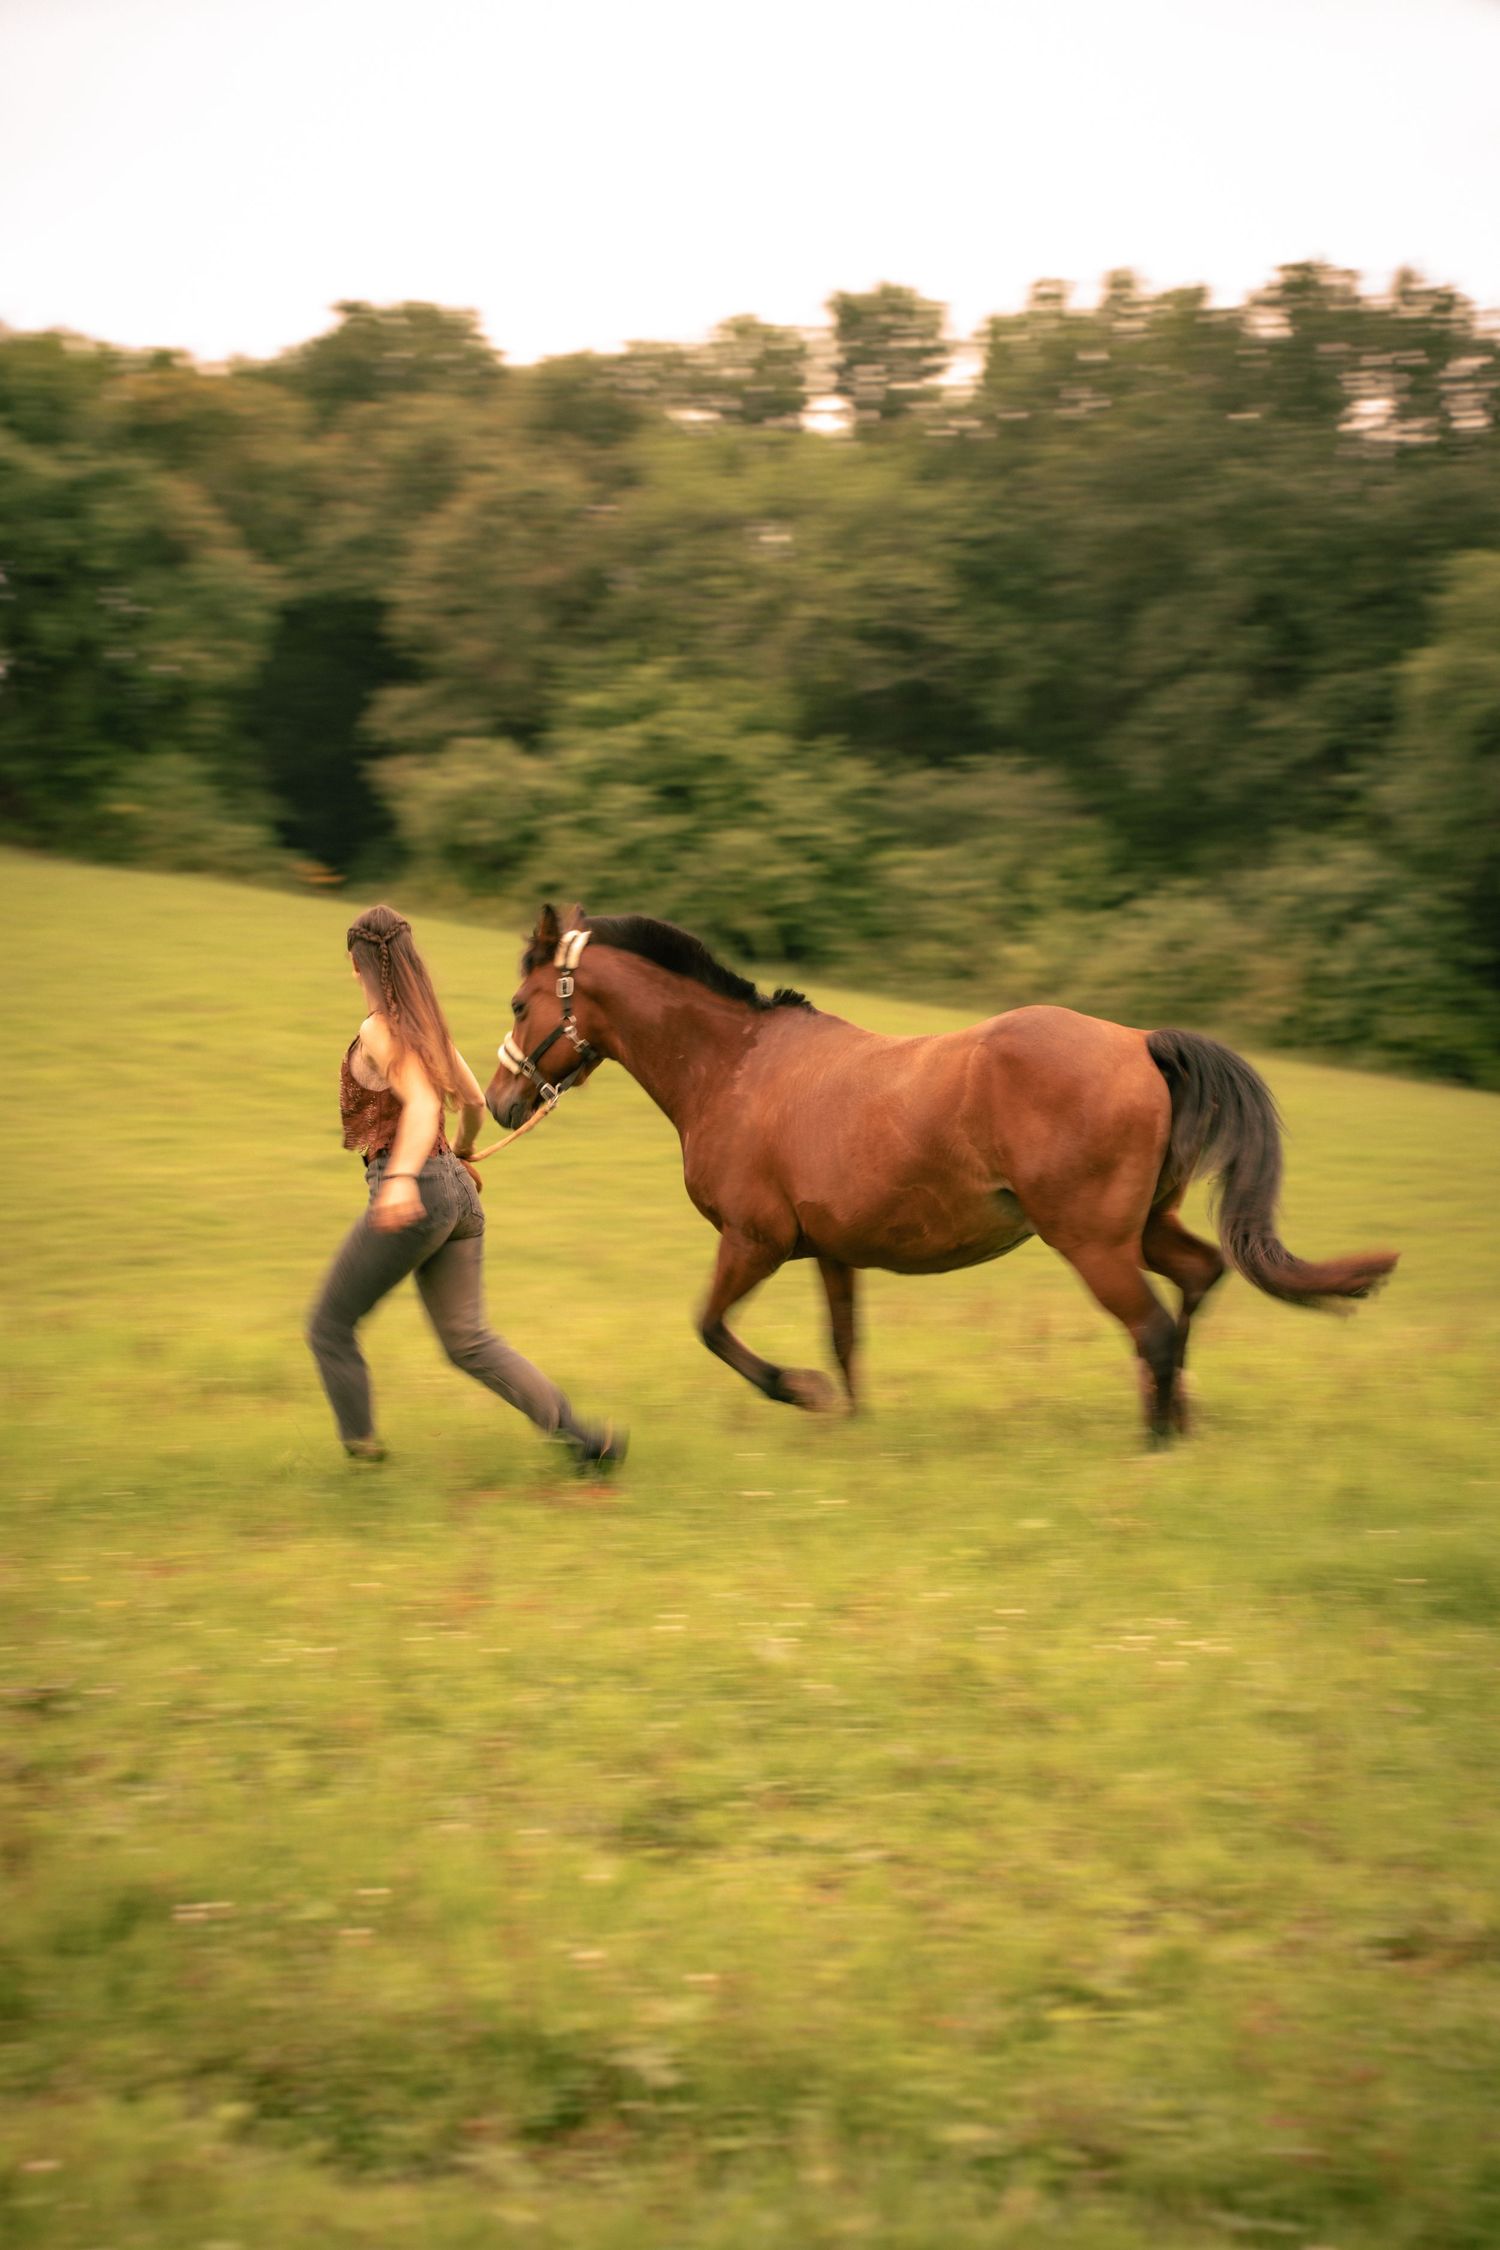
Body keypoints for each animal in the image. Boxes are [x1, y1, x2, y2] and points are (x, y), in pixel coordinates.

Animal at [485, 904, 1396, 1443]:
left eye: (520, 1004)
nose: (498, 1101)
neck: (734, 1067)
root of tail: (1140, 1043)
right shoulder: (832, 1252)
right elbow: (846, 1342)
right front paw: (851, 1423)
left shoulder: (754, 1240)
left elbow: (711, 1328)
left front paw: (802, 1393)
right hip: (1143, 1229)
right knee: (1200, 1277)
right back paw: (1176, 1416)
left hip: (1094, 1243)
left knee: (1155, 1329)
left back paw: (1157, 1441)